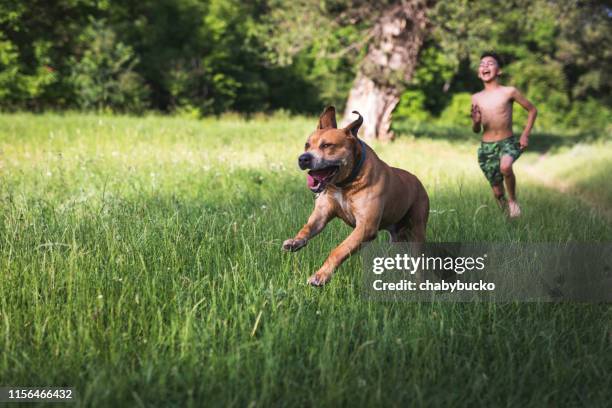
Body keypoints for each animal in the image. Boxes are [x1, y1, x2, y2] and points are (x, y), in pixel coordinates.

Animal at [284, 105, 430, 286]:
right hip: (397, 237)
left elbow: (339, 250)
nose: (303, 158)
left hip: (417, 230)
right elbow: (307, 228)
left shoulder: (366, 227)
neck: (345, 184)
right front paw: (295, 241)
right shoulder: (321, 214)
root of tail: (419, 182)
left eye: (327, 145)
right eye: (307, 145)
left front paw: (321, 276)